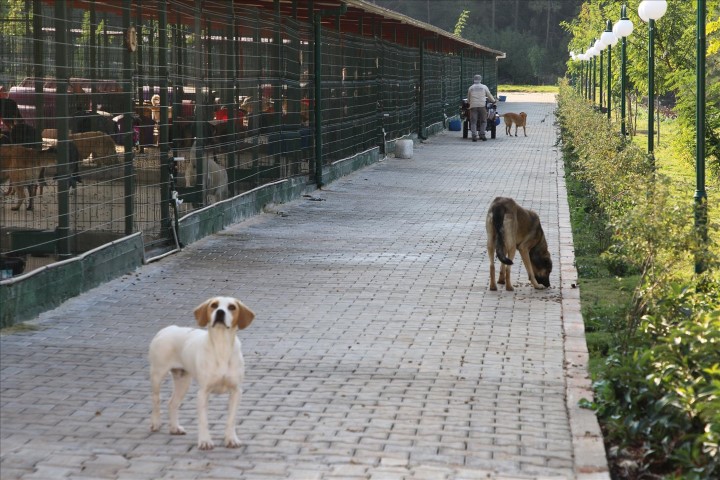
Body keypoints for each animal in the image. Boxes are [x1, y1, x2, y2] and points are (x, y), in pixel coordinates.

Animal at [149, 296, 256, 450]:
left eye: (232, 307)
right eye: (214, 305)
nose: (220, 312)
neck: (221, 346)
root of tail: (166, 329)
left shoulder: (236, 391)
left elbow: (231, 419)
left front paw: (231, 439)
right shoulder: (203, 392)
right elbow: (203, 420)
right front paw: (205, 441)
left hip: (183, 381)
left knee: (172, 403)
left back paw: (175, 428)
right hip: (157, 374)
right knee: (156, 400)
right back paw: (155, 423)